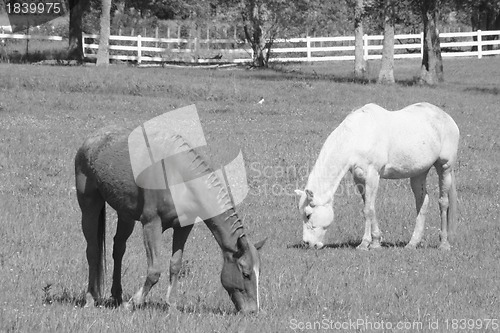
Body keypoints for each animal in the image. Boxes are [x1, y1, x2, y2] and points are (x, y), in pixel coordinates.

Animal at [74, 124, 266, 312]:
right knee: (93, 250)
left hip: (125, 215)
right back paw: (90, 299)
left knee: (118, 249)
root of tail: (89, 141)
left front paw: (171, 305)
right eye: (246, 274)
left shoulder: (183, 227)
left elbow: (175, 265)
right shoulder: (151, 225)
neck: (177, 174)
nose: (252, 311)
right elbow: (154, 271)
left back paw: (117, 296)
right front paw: (134, 302)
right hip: (89, 207)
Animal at [294, 102, 458, 250]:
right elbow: (369, 207)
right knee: (422, 202)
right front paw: (375, 243)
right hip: (418, 173)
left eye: (308, 215)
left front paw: (364, 244)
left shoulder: (373, 175)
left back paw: (444, 244)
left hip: (445, 167)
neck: (357, 137)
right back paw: (413, 243)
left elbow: (368, 210)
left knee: (443, 202)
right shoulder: (359, 179)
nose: (307, 243)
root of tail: (447, 117)